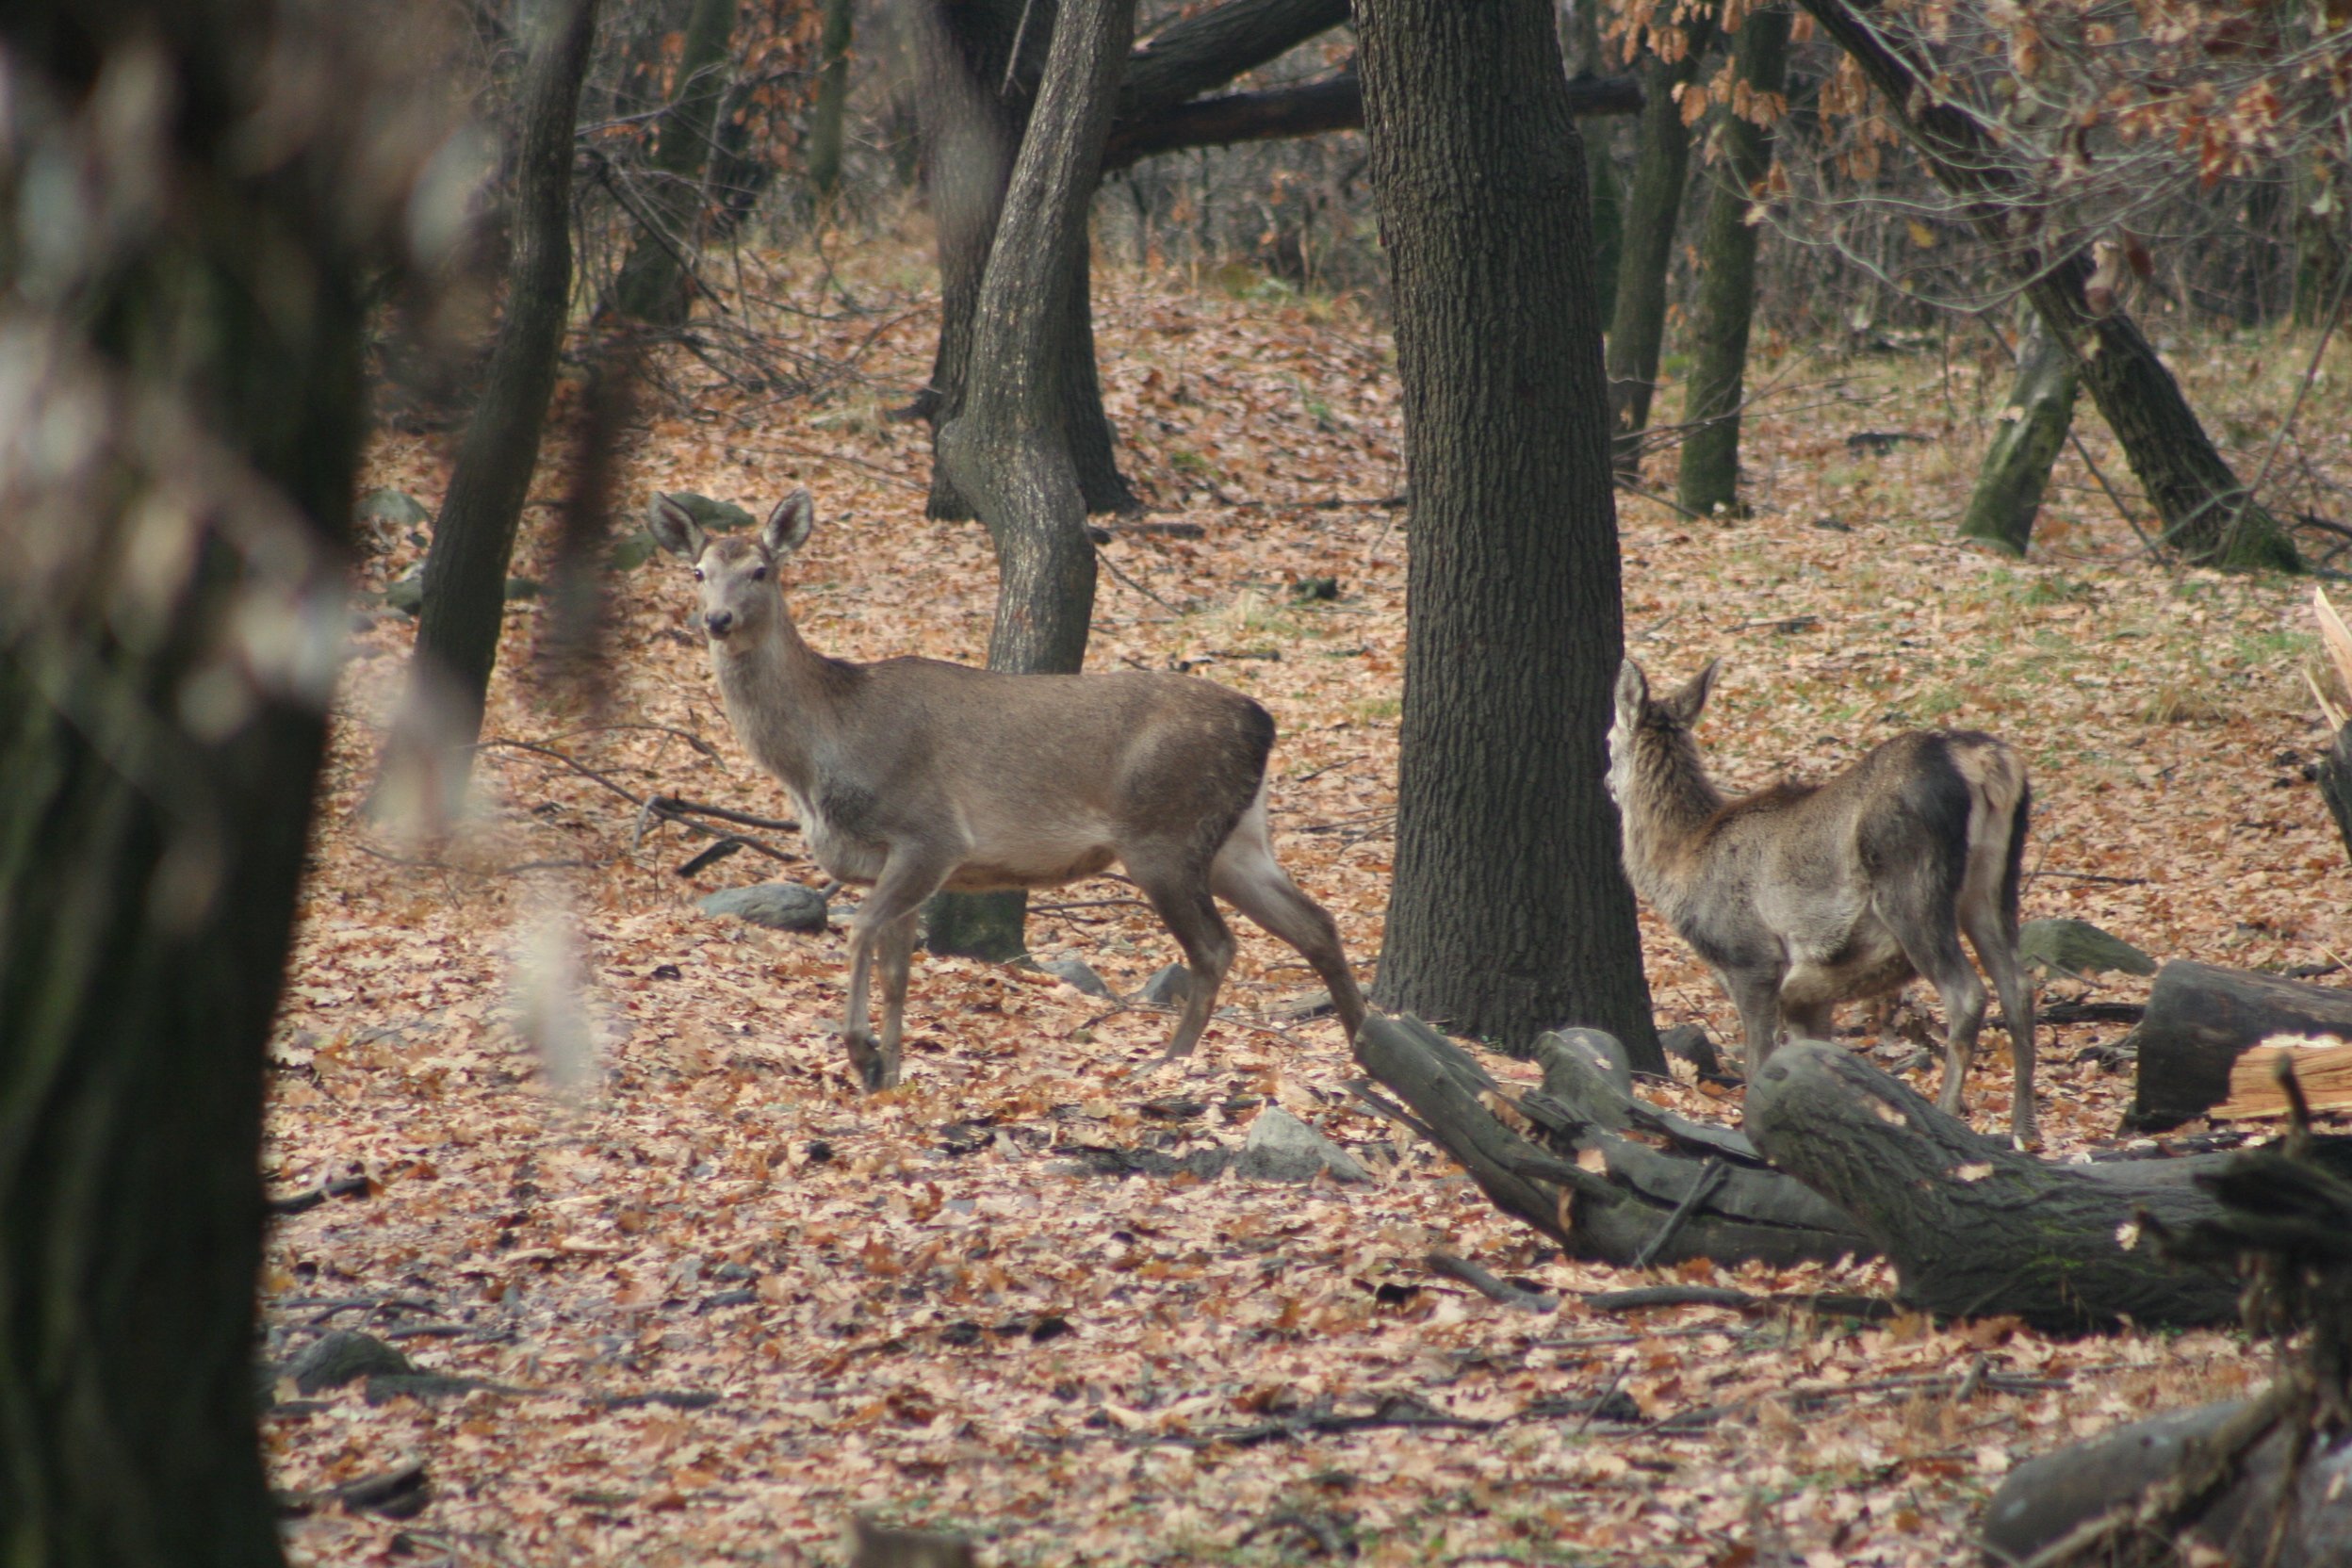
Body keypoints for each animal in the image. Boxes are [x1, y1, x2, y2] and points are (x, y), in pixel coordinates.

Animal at [653, 491, 1373, 1090]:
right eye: (698, 572)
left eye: (761, 571)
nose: (716, 619)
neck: (821, 756)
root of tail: (1264, 722)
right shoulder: (895, 861)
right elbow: (897, 970)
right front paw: (890, 1073)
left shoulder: (930, 834)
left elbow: (859, 932)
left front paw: (861, 1055)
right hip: (1235, 839)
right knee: (1316, 923)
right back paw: (1363, 1047)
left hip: (1164, 834)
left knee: (1216, 948)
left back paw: (1169, 1063)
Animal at [1609, 658, 2032, 1142]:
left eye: (1608, 740)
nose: (1606, 781)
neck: (1682, 862)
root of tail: (1987, 764)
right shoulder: (1811, 974)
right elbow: (1816, 1053)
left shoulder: (1750, 956)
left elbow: (1758, 1059)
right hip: (1994, 882)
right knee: (2018, 986)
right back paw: (2024, 1129)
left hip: (1911, 885)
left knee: (1967, 993)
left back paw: (1947, 1116)